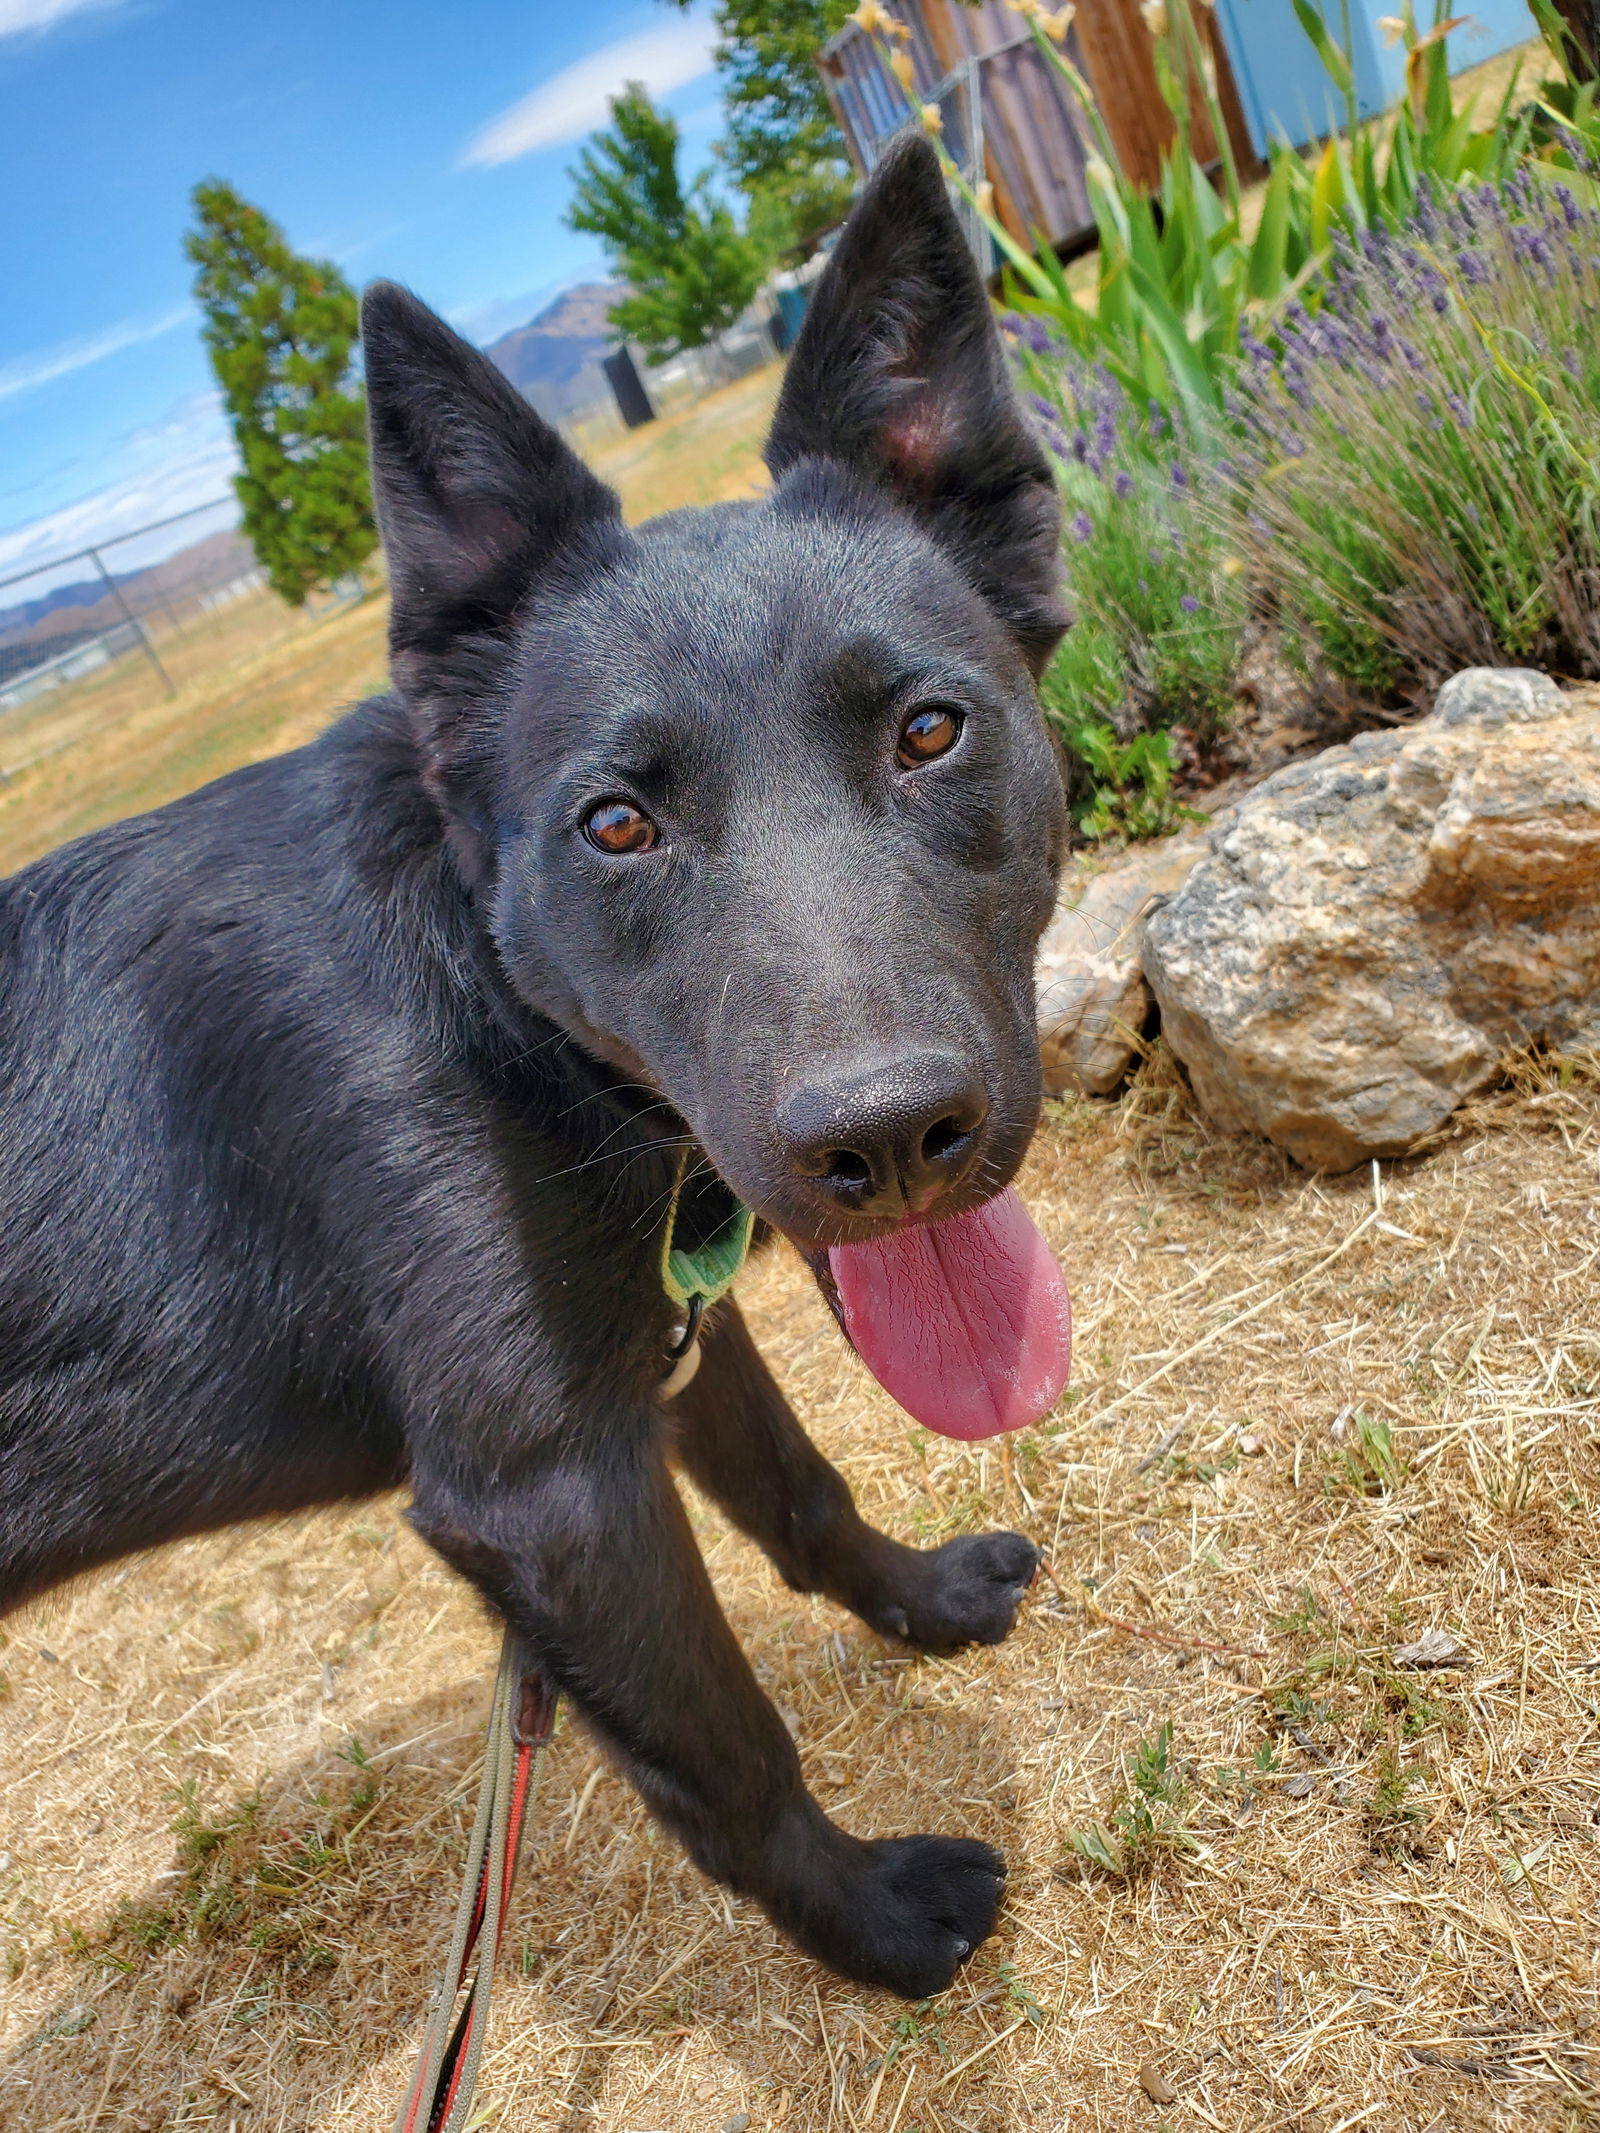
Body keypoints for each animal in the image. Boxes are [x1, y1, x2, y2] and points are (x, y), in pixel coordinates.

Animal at [3, 137, 1079, 1996]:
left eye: (931, 730)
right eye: (618, 823)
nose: (890, 1141)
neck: (486, 997)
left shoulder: (661, 1339)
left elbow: (804, 1491)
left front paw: (926, 1600)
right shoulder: (543, 1495)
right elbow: (725, 1749)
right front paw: (875, 1919)